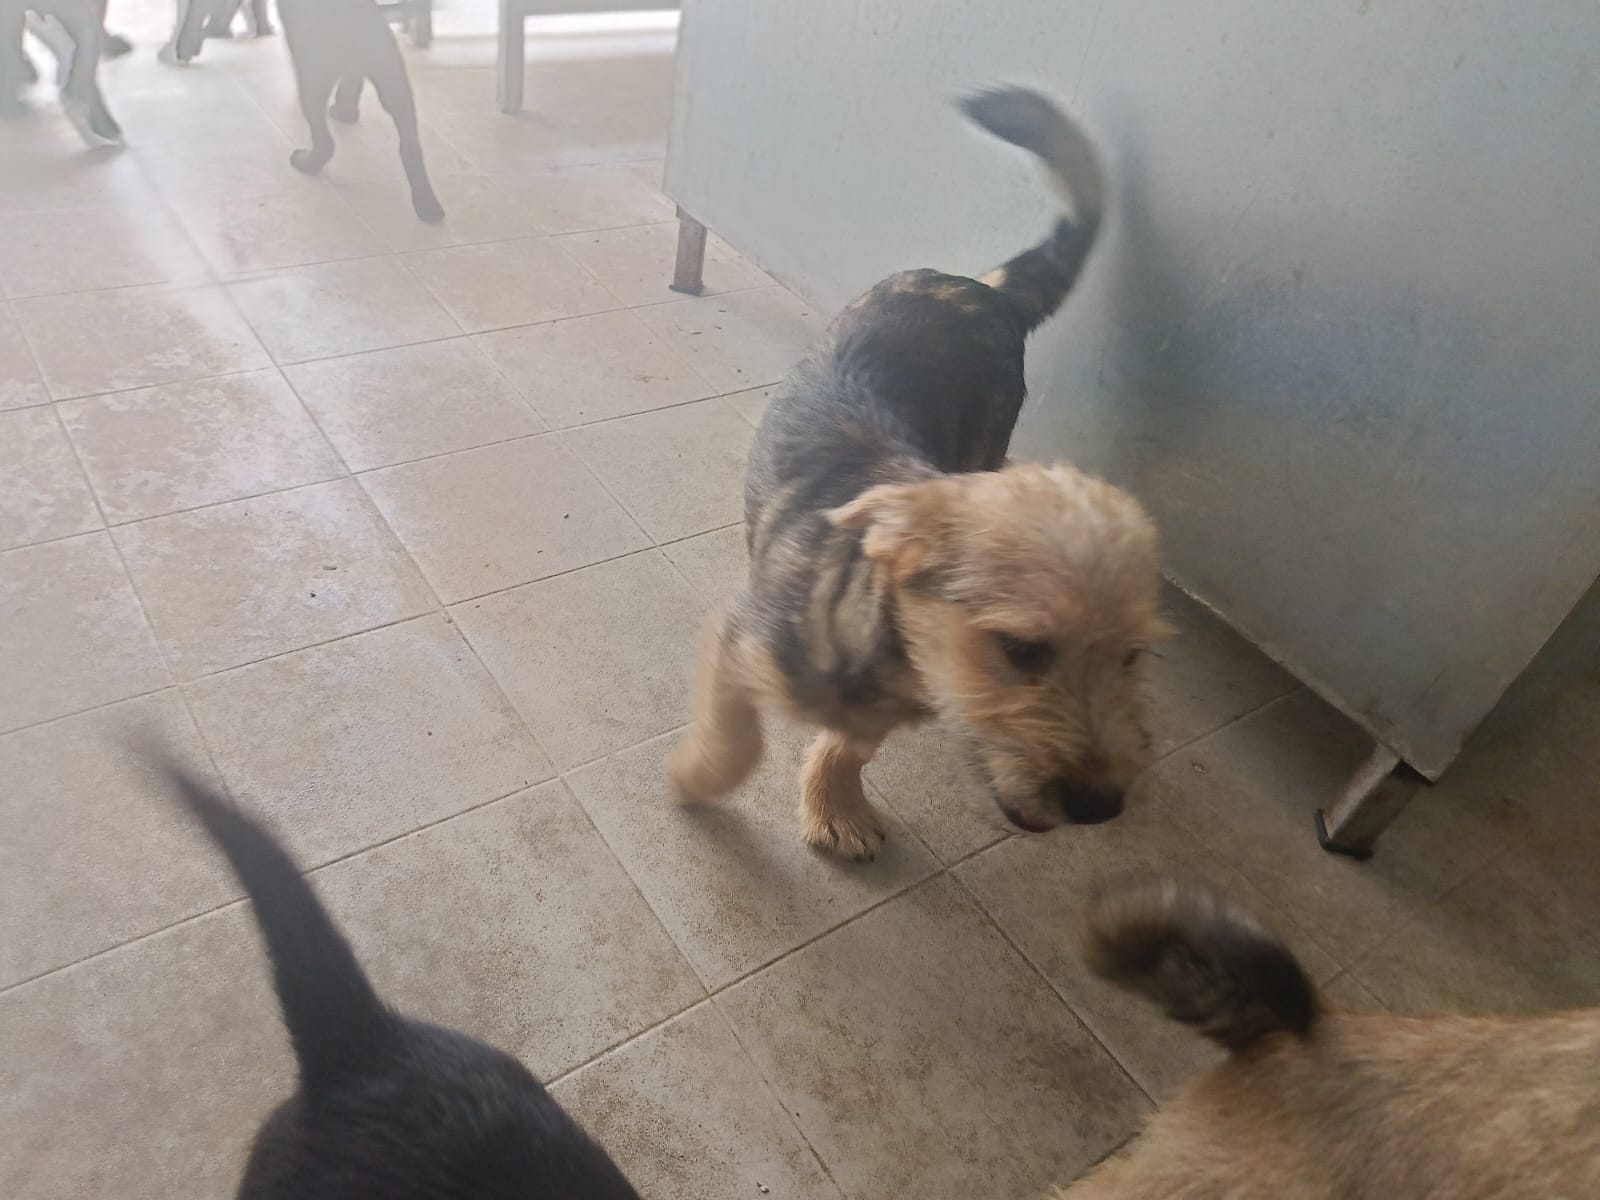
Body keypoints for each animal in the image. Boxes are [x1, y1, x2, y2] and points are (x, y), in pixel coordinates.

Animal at [668, 86, 1167, 859]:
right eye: (1021, 649)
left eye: (1132, 655)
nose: (1101, 806)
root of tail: (984, 290)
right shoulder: (741, 641)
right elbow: (738, 738)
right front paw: (695, 779)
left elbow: (851, 743)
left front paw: (834, 803)